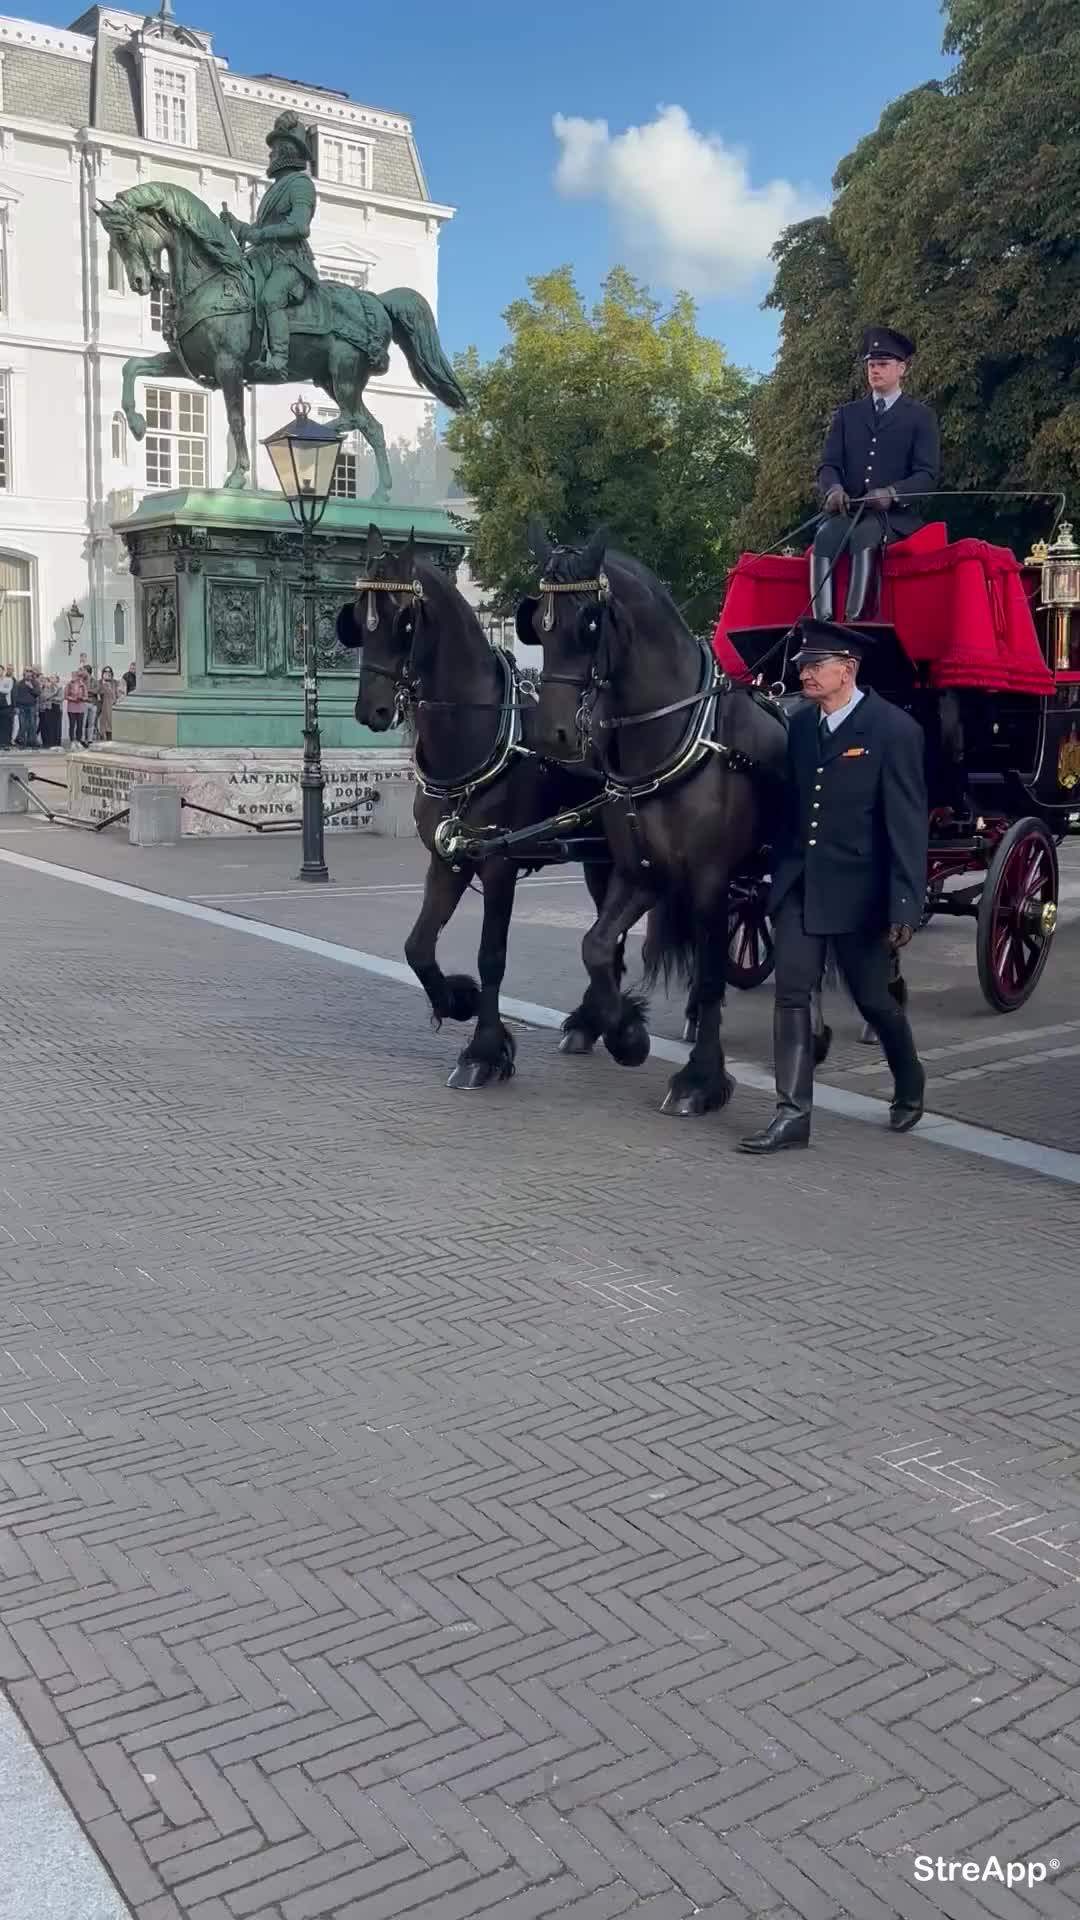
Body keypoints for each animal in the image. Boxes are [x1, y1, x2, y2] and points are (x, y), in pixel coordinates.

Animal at [332, 533, 626, 1090]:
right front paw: (457, 1000)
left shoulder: (499, 865)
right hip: (599, 859)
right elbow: (418, 946)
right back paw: (590, 1022)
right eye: (357, 617)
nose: (371, 710)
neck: (481, 733)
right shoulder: (447, 858)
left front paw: (484, 1052)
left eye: (405, 620)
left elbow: (492, 958)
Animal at [518, 533, 787, 1121]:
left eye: (589, 622)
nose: (552, 735)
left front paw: (701, 1080)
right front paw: (625, 1034)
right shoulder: (640, 871)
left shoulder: (708, 877)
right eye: (538, 625)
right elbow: (597, 946)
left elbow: (708, 975)